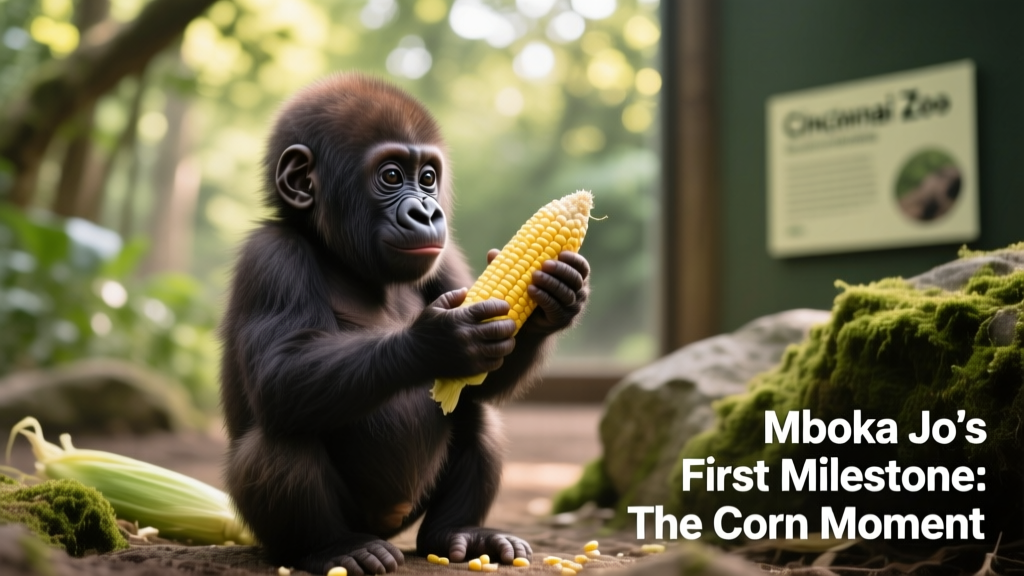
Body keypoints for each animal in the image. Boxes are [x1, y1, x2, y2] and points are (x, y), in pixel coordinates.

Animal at [218, 73, 590, 575]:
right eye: (392, 176)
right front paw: (438, 342)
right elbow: (280, 372)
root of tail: (386, 526)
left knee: (476, 413)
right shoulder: (271, 256)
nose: (428, 213)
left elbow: (485, 382)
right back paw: (335, 548)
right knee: (282, 436)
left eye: (428, 178)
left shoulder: (445, 259)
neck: (341, 255)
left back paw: (460, 533)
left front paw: (557, 301)